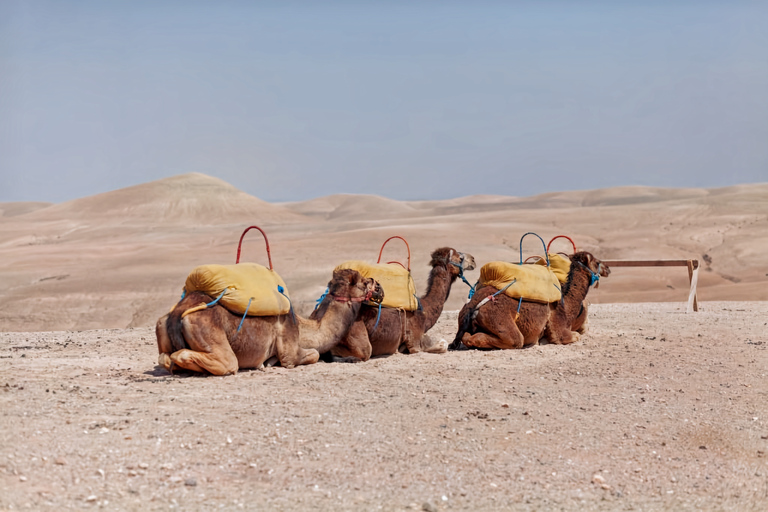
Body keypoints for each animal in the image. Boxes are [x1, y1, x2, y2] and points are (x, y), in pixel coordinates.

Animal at [156, 268, 384, 376]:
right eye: (364, 282)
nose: (379, 287)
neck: (304, 328)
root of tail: (179, 312)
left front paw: (268, 362)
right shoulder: (290, 352)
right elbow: (313, 354)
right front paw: (269, 362)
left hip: (161, 324)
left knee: (165, 358)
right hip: (210, 335)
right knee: (214, 360)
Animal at [448, 250, 608, 350]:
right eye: (597, 262)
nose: (607, 268)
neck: (567, 302)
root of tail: (474, 306)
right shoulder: (559, 328)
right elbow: (572, 336)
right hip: (500, 320)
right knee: (512, 339)